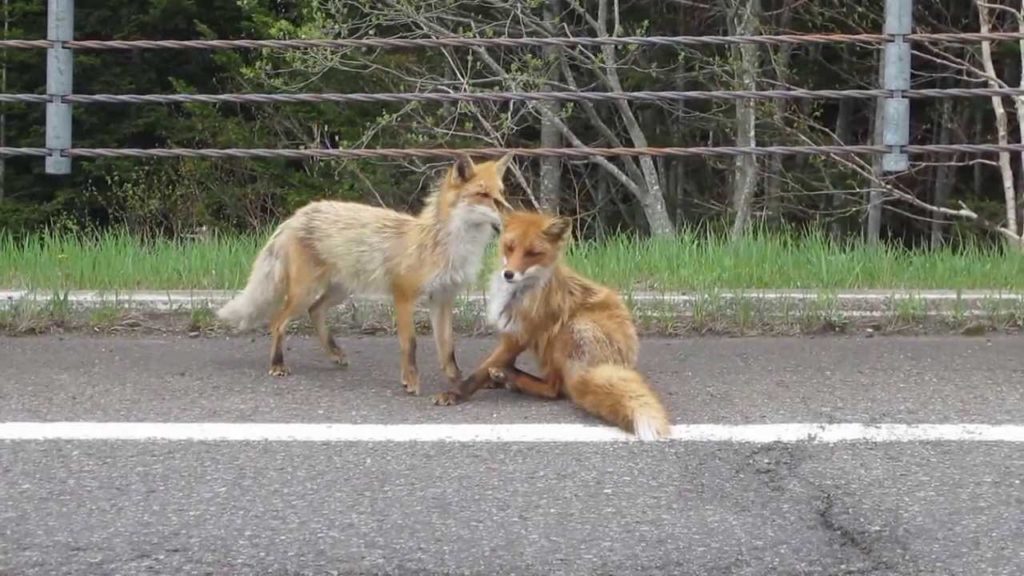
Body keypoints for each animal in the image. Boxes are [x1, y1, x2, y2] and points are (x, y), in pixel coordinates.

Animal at [216, 154, 513, 394]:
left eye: (501, 193)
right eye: (483, 195)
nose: (510, 213)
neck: (442, 246)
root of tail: (297, 215)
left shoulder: (442, 298)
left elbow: (448, 347)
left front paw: (458, 381)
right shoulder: (403, 296)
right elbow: (410, 344)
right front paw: (410, 382)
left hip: (339, 291)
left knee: (315, 311)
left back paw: (334, 353)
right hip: (305, 292)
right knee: (278, 321)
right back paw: (277, 364)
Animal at [431, 210, 671, 441]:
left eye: (532, 253)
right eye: (510, 248)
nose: (508, 274)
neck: (520, 294)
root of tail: (623, 361)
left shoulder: (521, 335)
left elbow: (479, 371)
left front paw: (456, 393)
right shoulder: (510, 331)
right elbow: (490, 363)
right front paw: (488, 378)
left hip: (570, 330)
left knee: (555, 389)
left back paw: (509, 377)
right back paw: (504, 377)